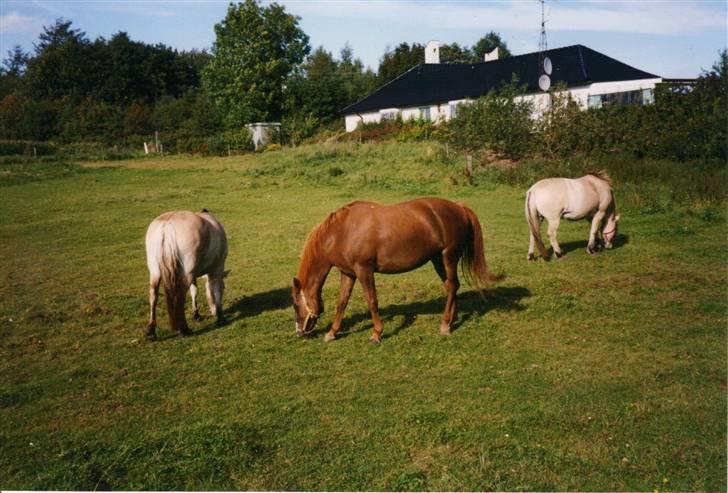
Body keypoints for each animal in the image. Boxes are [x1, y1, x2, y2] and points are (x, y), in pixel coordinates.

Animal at [145, 208, 228, 338]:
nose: (213, 312)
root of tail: (167, 224)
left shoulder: (194, 275)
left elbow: (194, 291)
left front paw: (196, 314)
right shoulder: (217, 268)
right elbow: (216, 290)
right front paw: (220, 316)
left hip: (155, 271)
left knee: (153, 295)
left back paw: (151, 330)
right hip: (185, 272)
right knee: (180, 295)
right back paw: (184, 329)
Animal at [288, 196, 500, 342]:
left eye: (296, 305)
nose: (299, 333)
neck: (343, 231)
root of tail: (459, 207)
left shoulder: (364, 270)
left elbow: (372, 300)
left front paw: (376, 334)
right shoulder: (348, 273)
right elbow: (342, 302)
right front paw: (332, 333)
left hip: (448, 257)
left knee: (453, 285)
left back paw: (445, 325)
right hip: (438, 260)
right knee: (451, 286)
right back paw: (450, 320)